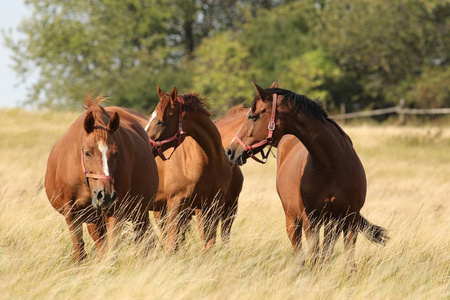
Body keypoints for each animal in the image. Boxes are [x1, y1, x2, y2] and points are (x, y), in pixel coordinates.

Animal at [44, 95, 159, 262]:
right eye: (87, 153)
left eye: (116, 153)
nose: (105, 195)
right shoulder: (72, 214)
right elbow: (79, 252)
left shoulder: (115, 212)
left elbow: (111, 251)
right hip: (95, 220)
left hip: (140, 212)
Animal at [142, 86, 236, 251]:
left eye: (161, 121)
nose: (146, 145)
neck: (208, 162)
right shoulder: (176, 204)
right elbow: (172, 244)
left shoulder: (213, 205)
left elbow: (209, 243)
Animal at [227, 82, 388, 272]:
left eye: (253, 116)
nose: (230, 151)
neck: (331, 166)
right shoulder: (310, 220)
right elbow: (315, 257)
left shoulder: (350, 218)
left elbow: (346, 261)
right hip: (292, 219)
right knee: (300, 253)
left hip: (332, 223)